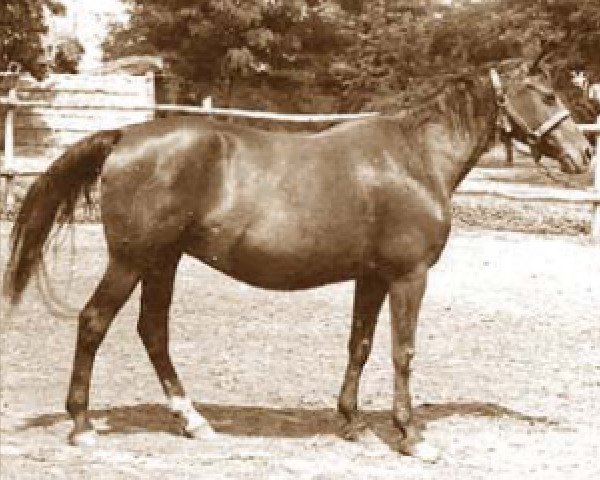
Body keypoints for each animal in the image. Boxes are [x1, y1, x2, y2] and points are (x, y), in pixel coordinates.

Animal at [1, 62, 592, 462]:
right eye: (545, 94)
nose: (583, 154)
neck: (413, 157)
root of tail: (126, 136)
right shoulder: (408, 277)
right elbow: (403, 352)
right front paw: (411, 435)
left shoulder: (371, 277)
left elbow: (360, 345)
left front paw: (352, 423)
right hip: (131, 260)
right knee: (94, 322)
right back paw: (82, 425)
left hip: (162, 262)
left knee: (153, 331)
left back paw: (193, 421)